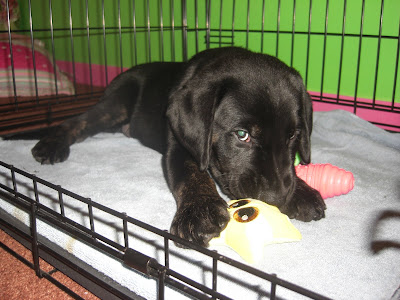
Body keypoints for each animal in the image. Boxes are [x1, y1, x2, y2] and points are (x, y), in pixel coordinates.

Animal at [31, 47, 324, 247]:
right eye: (242, 135)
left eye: (293, 135)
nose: (276, 198)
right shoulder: (178, 146)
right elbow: (191, 174)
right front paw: (200, 212)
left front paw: (301, 192)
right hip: (115, 104)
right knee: (77, 122)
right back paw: (50, 145)